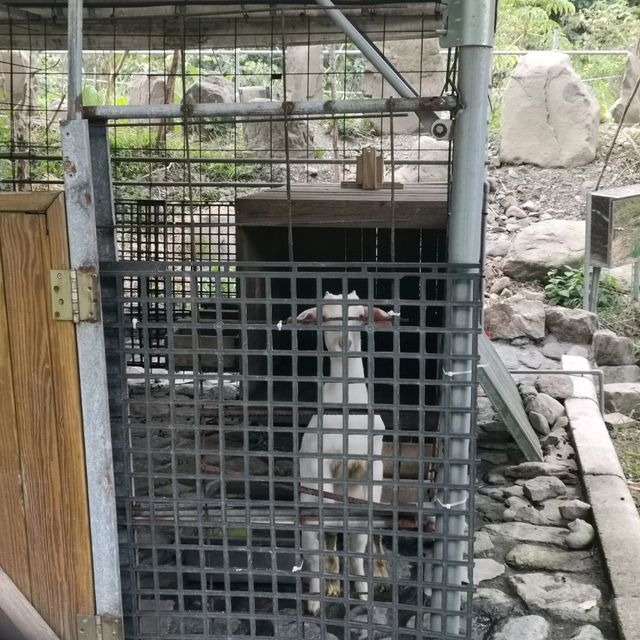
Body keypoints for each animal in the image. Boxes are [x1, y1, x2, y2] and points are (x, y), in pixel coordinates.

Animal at [298, 292, 392, 616]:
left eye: (361, 315)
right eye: (325, 317)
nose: (344, 343)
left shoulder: (372, 461)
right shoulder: (321, 460)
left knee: (354, 546)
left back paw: (362, 592)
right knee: (316, 552)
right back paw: (317, 600)